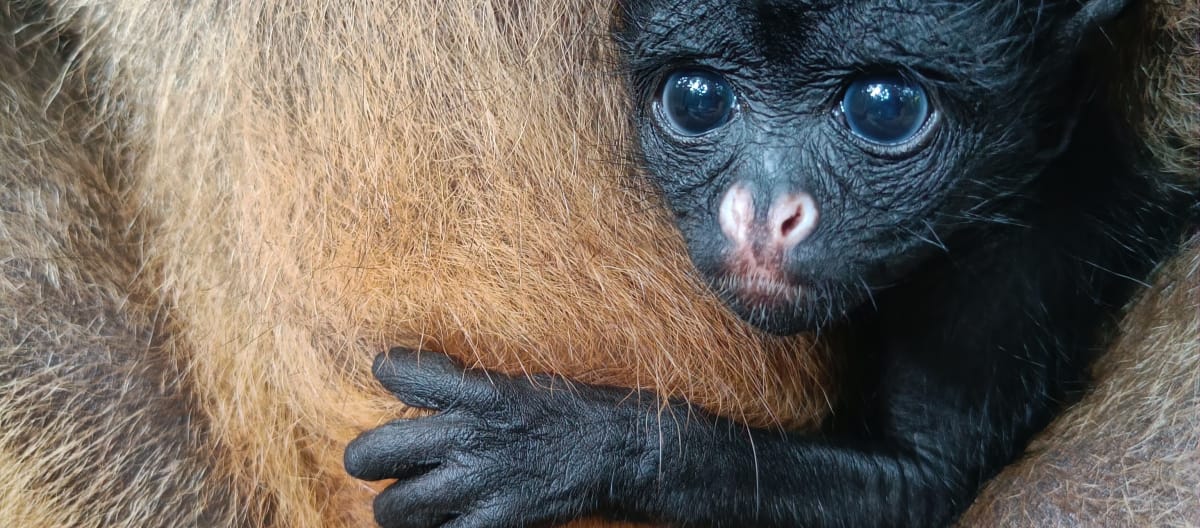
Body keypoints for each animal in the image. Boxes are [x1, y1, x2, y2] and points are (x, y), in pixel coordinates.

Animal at [0, 1, 1195, 528]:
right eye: (698, 99)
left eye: (886, 109)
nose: (763, 212)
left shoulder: (1023, 243)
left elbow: (921, 484)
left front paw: (567, 447)